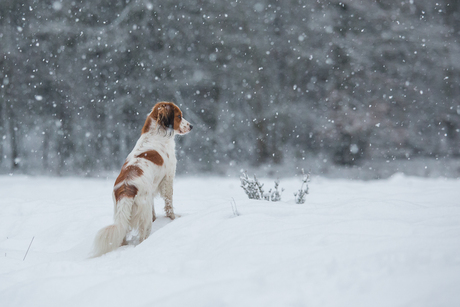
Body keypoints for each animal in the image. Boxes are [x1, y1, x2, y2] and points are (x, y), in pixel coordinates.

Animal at [91, 101, 192, 258]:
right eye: (179, 116)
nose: (191, 126)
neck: (155, 133)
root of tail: (126, 189)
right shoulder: (168, 177)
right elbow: (169, 202)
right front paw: (173, 218)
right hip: (144, 218)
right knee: (143, 237)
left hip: (123, 215)